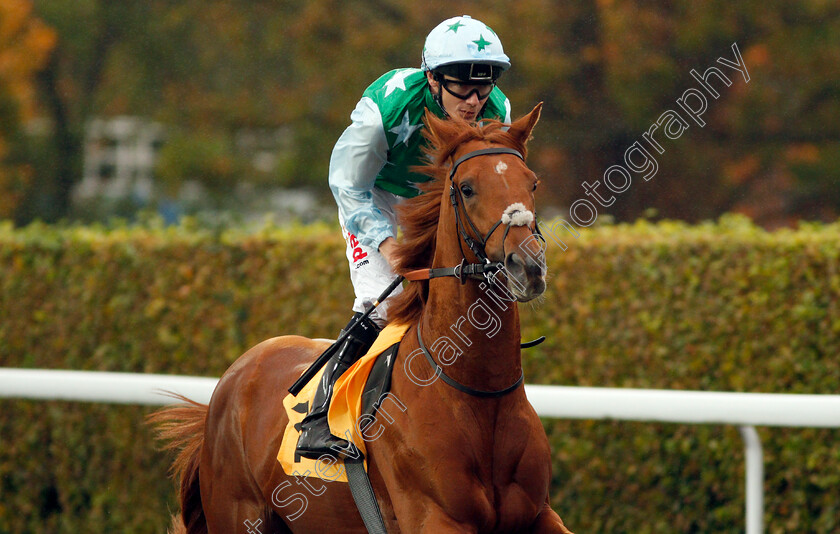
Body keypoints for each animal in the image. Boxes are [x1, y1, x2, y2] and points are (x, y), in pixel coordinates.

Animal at [149, 102, 572, 532]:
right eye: (467, 188)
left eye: (532, 183)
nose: (527, 267)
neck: (478, 394)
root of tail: (230, 381)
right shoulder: (435, 517)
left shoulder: (539, 514)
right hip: (239, 514)